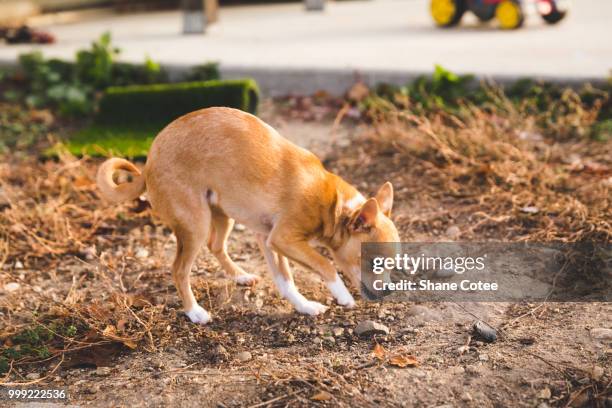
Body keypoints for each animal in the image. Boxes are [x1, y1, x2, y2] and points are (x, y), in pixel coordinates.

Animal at [98, 107, 400, 324]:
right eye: (375, 263)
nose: (388, 291)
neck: (334, 205)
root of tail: (149, 159)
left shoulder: (269, 240)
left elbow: (285, 280)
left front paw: (304, 306)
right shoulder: (284, 239)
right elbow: (325, 264)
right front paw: (343, 296)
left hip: (222, 214)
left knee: (215, 245)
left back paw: (240, 276)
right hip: (196, 226)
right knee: (179, 270)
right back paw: (195, 312)